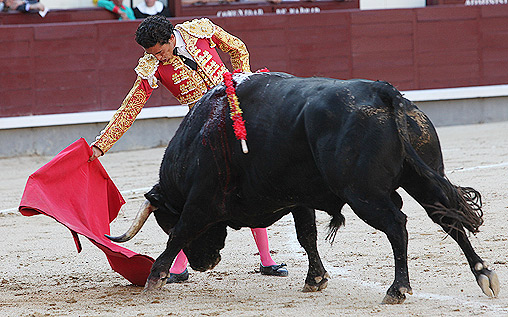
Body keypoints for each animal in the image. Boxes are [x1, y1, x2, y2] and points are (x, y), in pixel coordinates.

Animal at [108, 72, 500, 304]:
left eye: (165, 222)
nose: (206, 264)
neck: (200, 137)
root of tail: (384, 93)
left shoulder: (201, 201)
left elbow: (180, 235)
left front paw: (154, 279)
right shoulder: (299, 199)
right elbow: (306, 236)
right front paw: (316, 279)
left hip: (364, 194)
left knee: (397, 225)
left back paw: (398, 289)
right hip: (424, 176)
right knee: (447, 219)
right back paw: (484, 276)